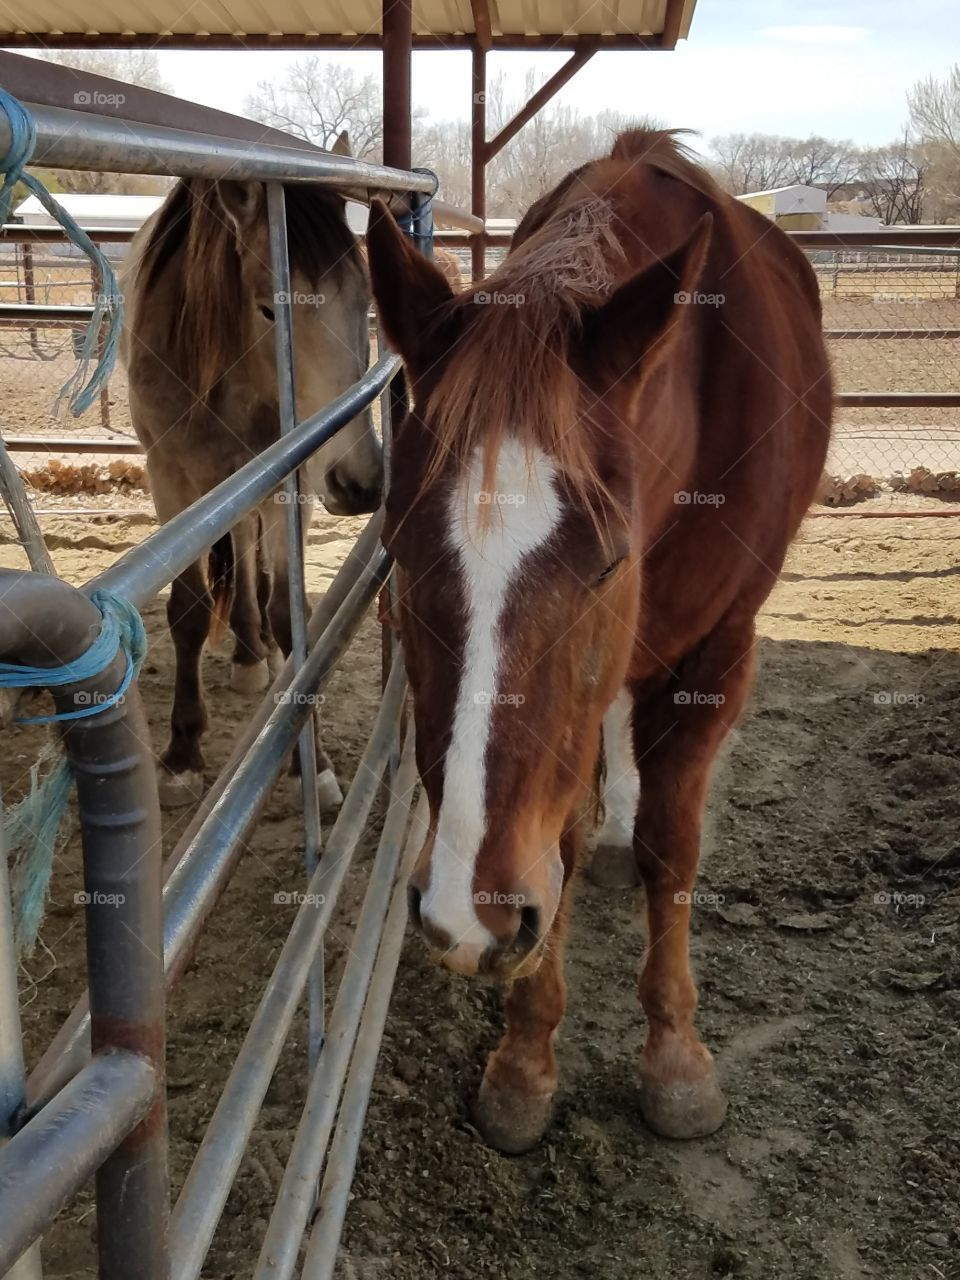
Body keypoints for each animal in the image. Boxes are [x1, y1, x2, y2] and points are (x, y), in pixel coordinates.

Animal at [368, 132, 834, 1162]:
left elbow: (672, 846)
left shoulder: (718, 655)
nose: (466, 916)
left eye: (610, 561)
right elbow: (565, 845)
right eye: (396, 548)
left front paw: (677, 1057)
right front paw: (525, 1061)